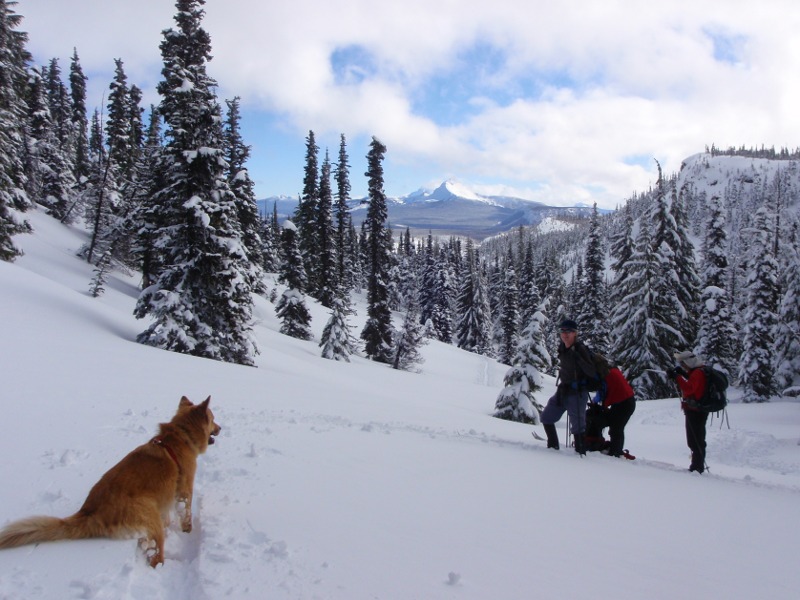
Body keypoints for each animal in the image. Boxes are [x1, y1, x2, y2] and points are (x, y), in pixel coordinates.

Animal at [0, 394, 222, 568]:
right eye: (213, 418)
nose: (221, 428)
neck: (180, 436)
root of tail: (89, 512)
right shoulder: (183, 491)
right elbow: (186, 514)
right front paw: (188, 533)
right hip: (149, 516)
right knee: (155, 555)